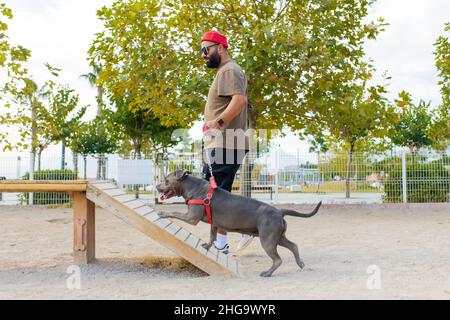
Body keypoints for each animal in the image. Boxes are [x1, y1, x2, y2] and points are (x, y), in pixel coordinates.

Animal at [156, 169, 320, 276]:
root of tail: (279, 211)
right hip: (278, 237)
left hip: (267, 239)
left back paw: (267, 273)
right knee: (293, 246)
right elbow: (212, 236)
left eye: (166, 180)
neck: (193, 187)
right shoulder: (214, 223)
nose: (157, 186)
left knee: (278, 260)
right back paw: (300, 263)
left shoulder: (191, 217)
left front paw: (162, 213)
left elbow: (174, 213)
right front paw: (207, 246)